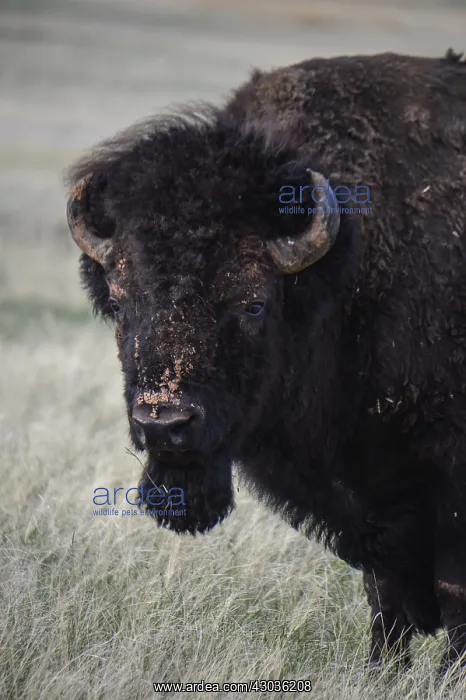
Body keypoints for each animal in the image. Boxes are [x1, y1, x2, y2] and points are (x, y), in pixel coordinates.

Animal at [66, 50, 466, 670]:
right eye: (120, 299)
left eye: (252, 302)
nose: (165, 423)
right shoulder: (372, 500)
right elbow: (385, 596)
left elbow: (450, 598)